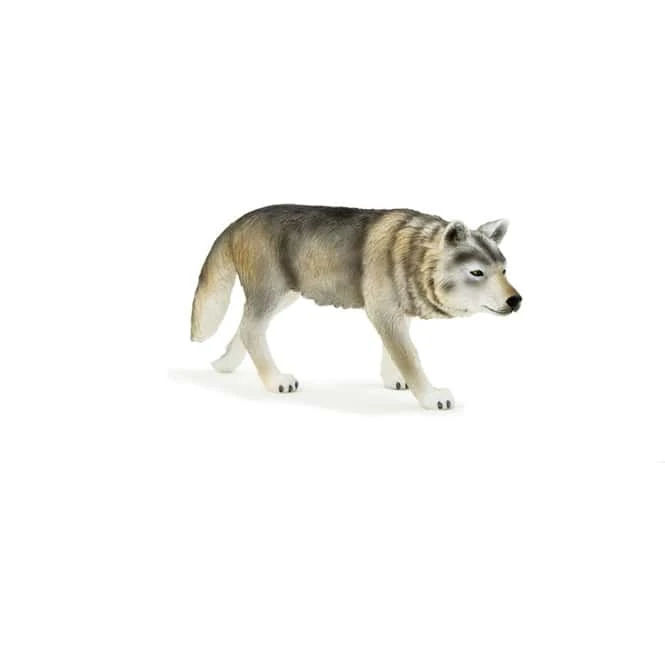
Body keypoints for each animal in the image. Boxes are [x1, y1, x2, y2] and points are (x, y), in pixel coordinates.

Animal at [190, 204, 521, 410]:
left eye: (504, 271)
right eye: (477, 273)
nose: (516, 300)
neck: (412, 255)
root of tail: (238, 221)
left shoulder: (397, 314)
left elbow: (393, 355)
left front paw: (394, 380)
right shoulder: (384, 314)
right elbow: (410, 359)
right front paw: (431, 397)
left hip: (286, 295)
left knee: (245, 328)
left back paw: (225, 365)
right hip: (272, 293)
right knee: (251, 329)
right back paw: (275, 381)